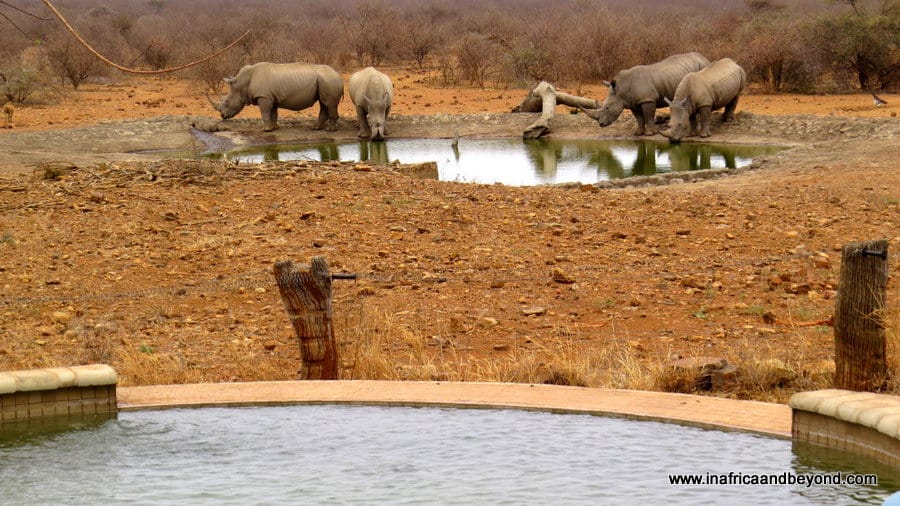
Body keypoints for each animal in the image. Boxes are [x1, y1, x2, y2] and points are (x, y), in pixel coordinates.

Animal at [207, 62, 343, 132]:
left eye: (227, 102)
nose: (222, 116)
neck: (242, 84)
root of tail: (339, 76)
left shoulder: (264, 97)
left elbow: (264, 113)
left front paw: (265, 129)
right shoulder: (270, 98)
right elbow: (273, 113)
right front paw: (274, 128)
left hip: (328, 80)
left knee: (328, 104)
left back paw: (329, 130)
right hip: (325, 80)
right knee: (323, 103)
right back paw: (315, 128)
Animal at [580, 52, 710, 136]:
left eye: (607, 107)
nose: (601, 124)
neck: (621, 89)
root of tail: (705, 58)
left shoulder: (648, 99)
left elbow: (648, 116)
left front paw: (649, 134)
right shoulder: (633, 102)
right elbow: (639, 118)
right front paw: (638, 133)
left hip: (702, 66)